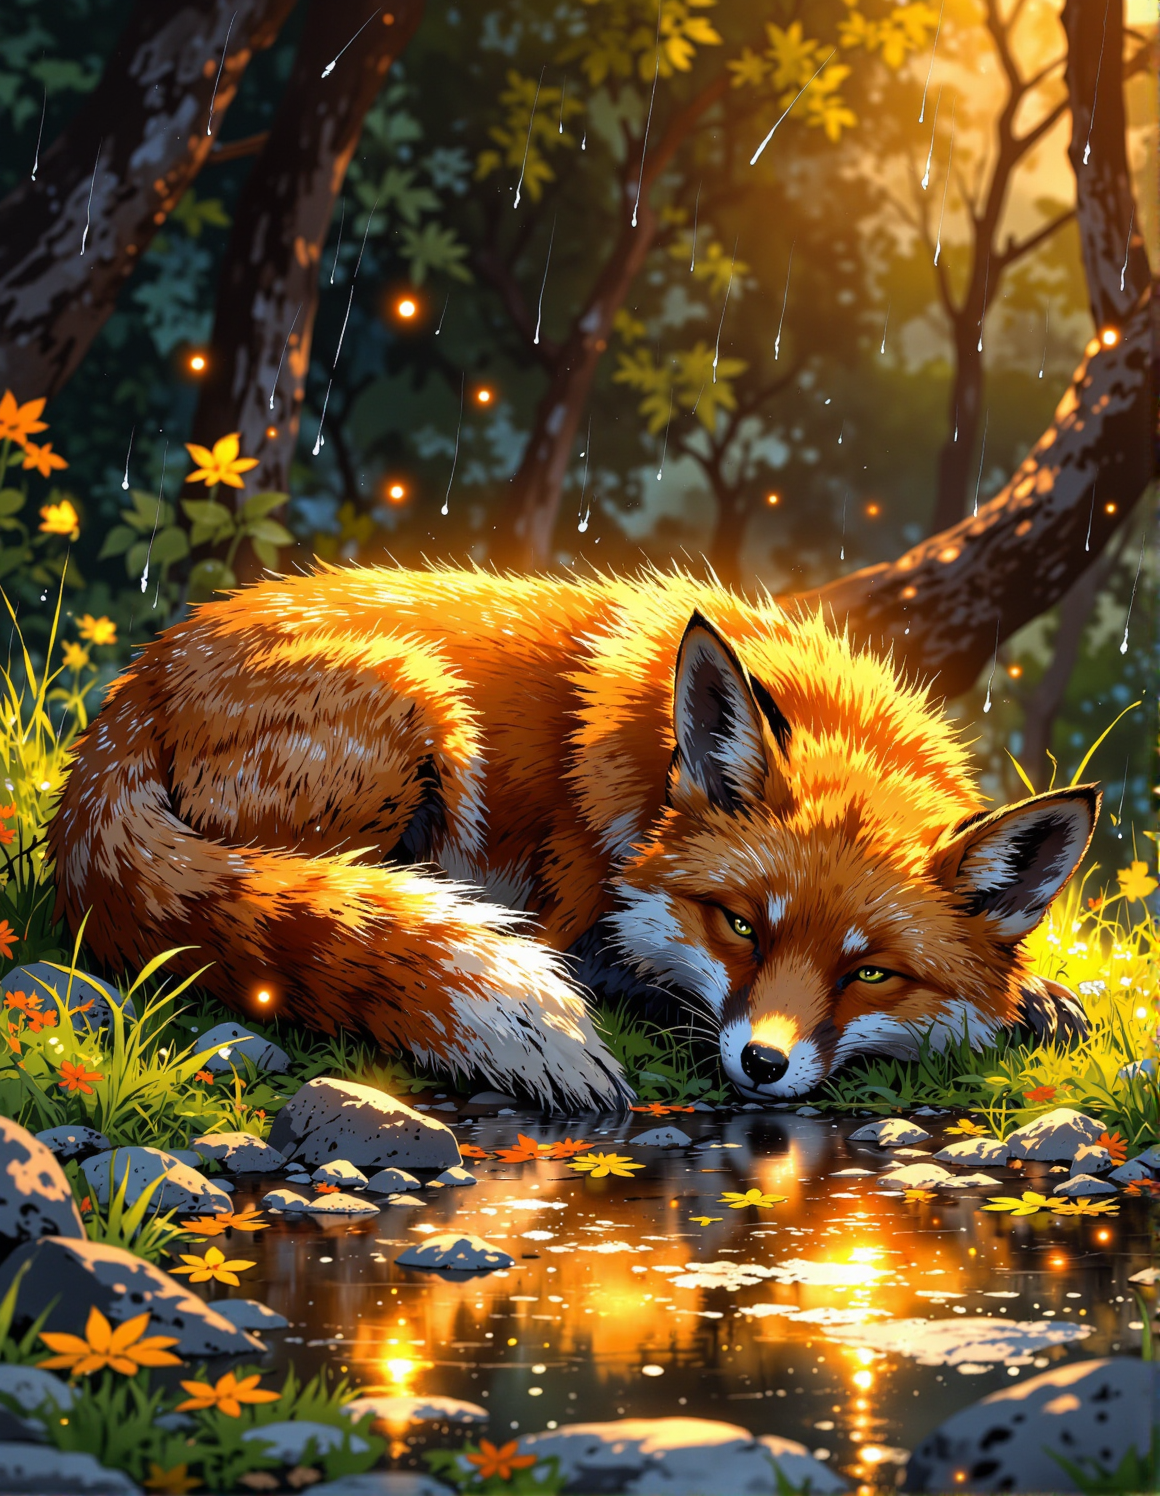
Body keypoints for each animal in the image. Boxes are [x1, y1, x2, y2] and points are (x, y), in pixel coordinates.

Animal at [48, 565, 1096, 1110]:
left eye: (871, 971)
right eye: (740, 926)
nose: (761, 1065)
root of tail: (142, 677)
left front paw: (1039, 1000)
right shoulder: (571, 917)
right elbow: (611, 973)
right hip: (421, 716)